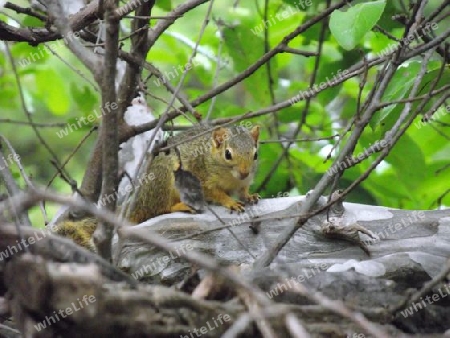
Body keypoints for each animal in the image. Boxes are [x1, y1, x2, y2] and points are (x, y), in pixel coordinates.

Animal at [52, 124, 260, 251]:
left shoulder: (242, 182)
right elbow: (215, 193)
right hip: (163, 179)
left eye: (256, 154)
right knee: (157, 209)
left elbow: (243, 191)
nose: (244, 172)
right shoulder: (200, 174)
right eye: (228, 154)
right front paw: (230, 202)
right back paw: (180, 206)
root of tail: (137, 203)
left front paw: (249, 196)